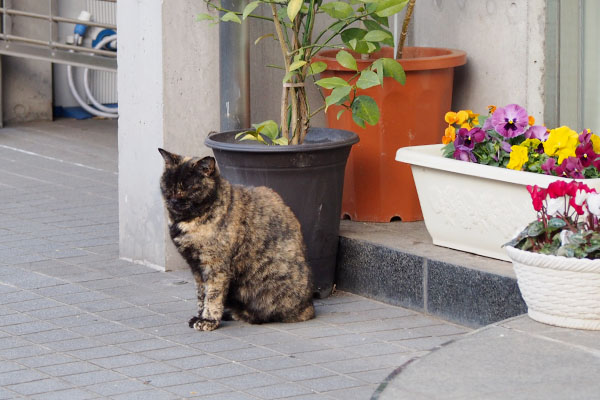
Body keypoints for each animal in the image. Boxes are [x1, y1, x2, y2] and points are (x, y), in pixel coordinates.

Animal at [157, 148, 316, 330]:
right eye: (168, 185)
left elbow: (212, 295)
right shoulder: (196, 267)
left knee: (261, 315)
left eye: (188, 187)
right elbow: (201, 294)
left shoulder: (215, 266)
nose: (173, 200)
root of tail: (309, 307)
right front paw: (199, 316)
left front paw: (208, 320)